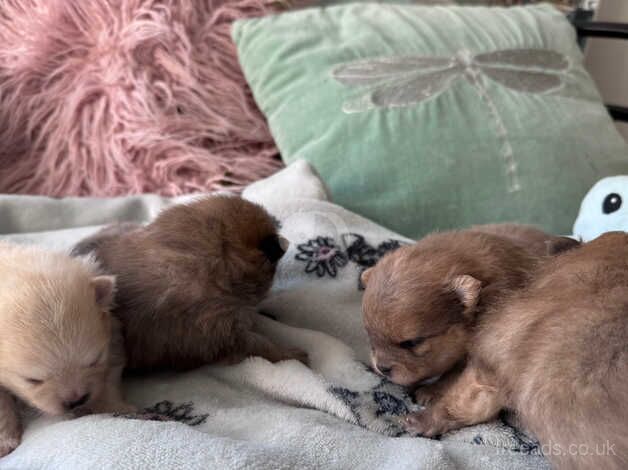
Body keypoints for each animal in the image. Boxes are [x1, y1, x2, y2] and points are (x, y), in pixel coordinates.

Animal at [0, 242, 135, 456]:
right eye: (32, 380)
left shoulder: (111, 335)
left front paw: (117, 408)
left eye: (94, 360)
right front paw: (4, 441)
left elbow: (109, 376)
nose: (76, 400)